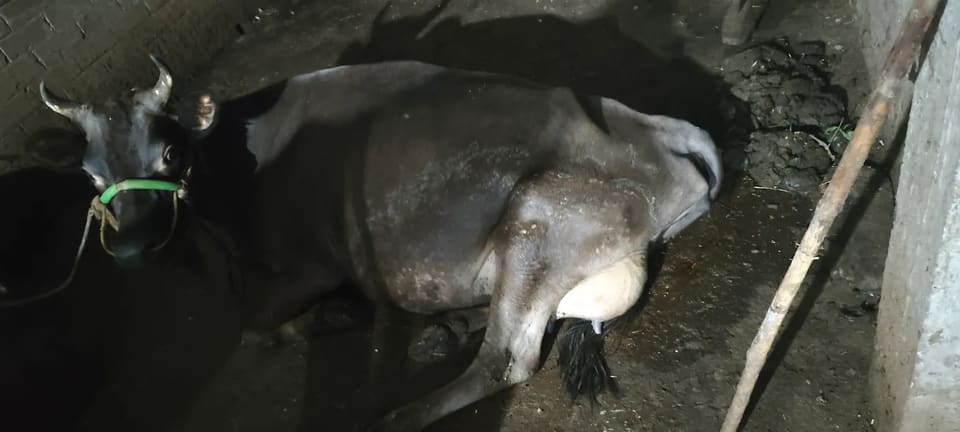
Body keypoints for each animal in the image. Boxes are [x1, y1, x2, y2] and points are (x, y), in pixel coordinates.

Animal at [25, 55, 721, 431]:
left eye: (168, 153)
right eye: (90, 173)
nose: (131, 251)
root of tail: (661, 128)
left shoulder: (309, 265)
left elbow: (254, 325)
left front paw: (338, 313)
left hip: (538, 217)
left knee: (507, 359)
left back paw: (403, 412)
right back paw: (447, 326)